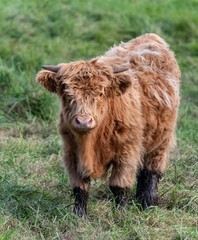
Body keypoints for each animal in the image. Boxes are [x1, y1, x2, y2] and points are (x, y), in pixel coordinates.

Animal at [36, 33, 181, 216]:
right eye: (67, 94)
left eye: (101, 93)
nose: (83, 121)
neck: (91, 142)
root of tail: (151, 37)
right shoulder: (71, 152)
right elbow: (79, 187)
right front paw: (79, 215)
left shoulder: (127, 152)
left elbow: (119, 186)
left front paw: (121, 213)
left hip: (161, 140)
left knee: (151, 171)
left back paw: (147, 203)